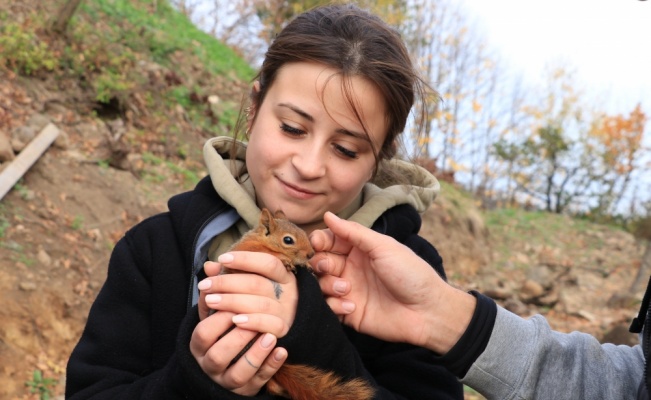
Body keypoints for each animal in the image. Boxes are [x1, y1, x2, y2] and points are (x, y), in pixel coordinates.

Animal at [223, 208, 374, 400]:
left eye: (303, 232)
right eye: (288, 240)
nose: (311, 254)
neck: (262, 240)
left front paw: (307, 265)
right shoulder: (245, 250)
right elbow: (268, 254)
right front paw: (283, 259)